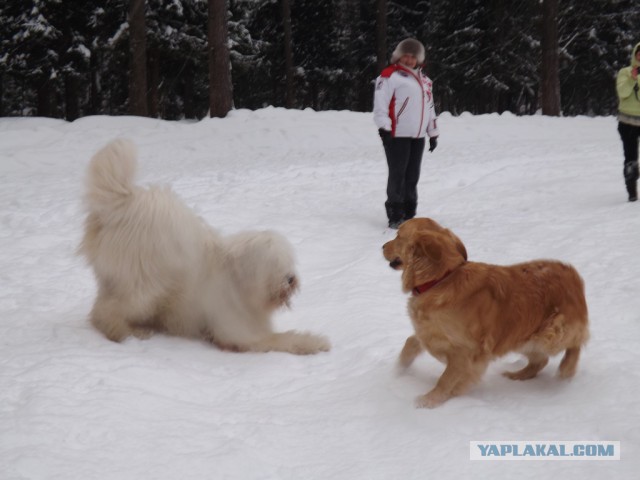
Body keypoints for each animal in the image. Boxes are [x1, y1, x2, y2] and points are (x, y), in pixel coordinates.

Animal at [80, 141, 330, 354]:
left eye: (287, 261)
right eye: (273, 264)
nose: (290, 279)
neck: (239, 282)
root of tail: (123, 203)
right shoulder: (237, 328)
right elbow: (278, 339)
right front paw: (316, 342)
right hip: (142, 281)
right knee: (107, 310)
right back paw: (124, 332)